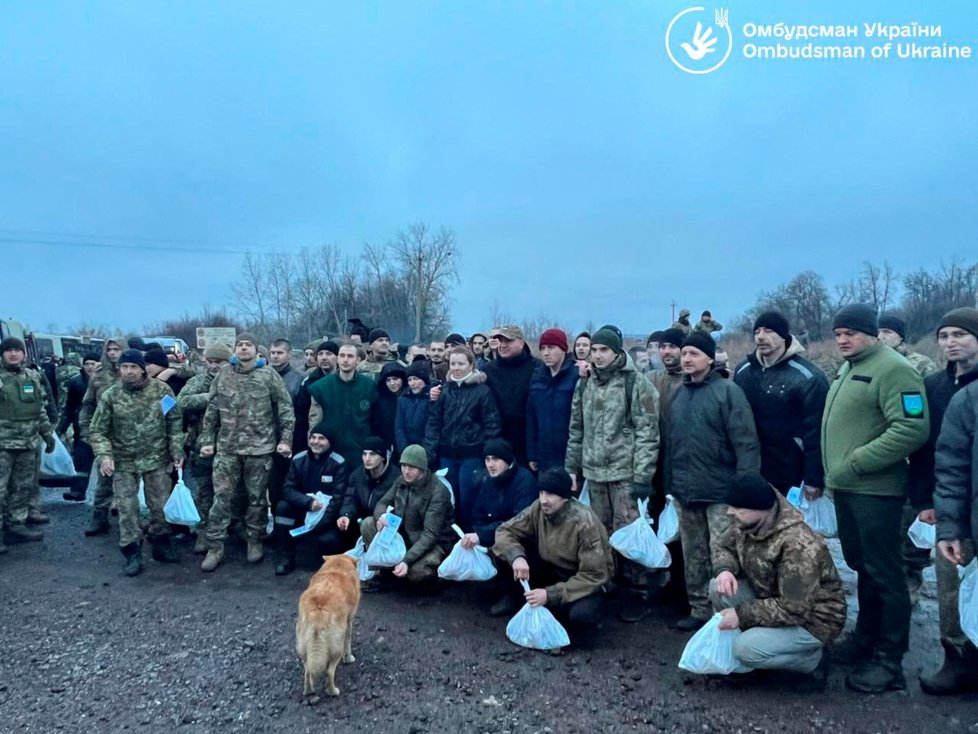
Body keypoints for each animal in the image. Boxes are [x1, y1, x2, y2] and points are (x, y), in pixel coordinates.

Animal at [298, 556, 362, 700]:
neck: (337, 565)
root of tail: (319, 609)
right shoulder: (348, 622)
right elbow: (348, 643)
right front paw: (348, 658)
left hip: (305, 646)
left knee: (307, 671)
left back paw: (308, 691)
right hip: (336, 647)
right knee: (329, 672)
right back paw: (333, 691)